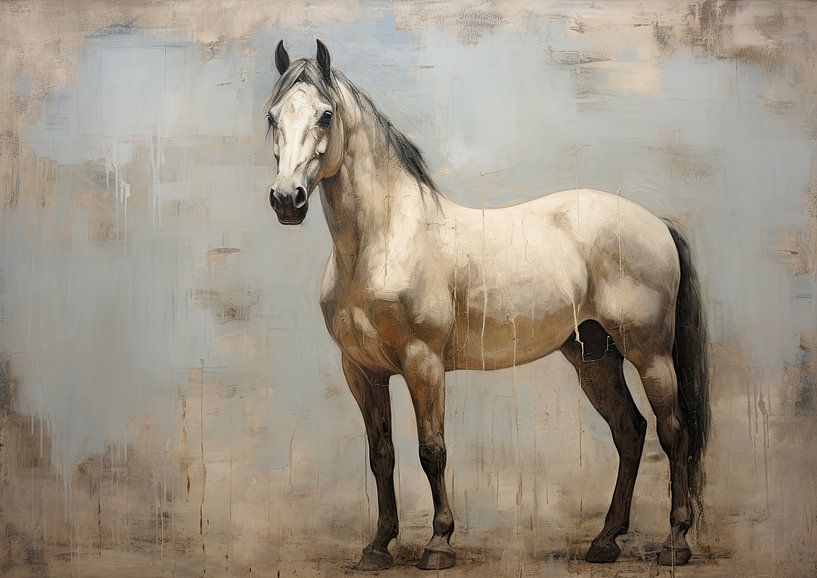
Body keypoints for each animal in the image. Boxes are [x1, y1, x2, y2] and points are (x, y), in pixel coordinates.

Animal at [265, 39, 710, 571]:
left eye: (326, 114)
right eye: (272, 116)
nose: (286, 200)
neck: (384, 241)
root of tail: (658, 224)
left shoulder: (423, 363)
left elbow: (432, 450)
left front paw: (439, 544)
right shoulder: (362, 370)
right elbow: (381, 455)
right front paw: (378, 546)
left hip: (650, 354)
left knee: (673, 432)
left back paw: (675, 542)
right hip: (594, 358)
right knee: (630, 430)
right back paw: (604, 541)